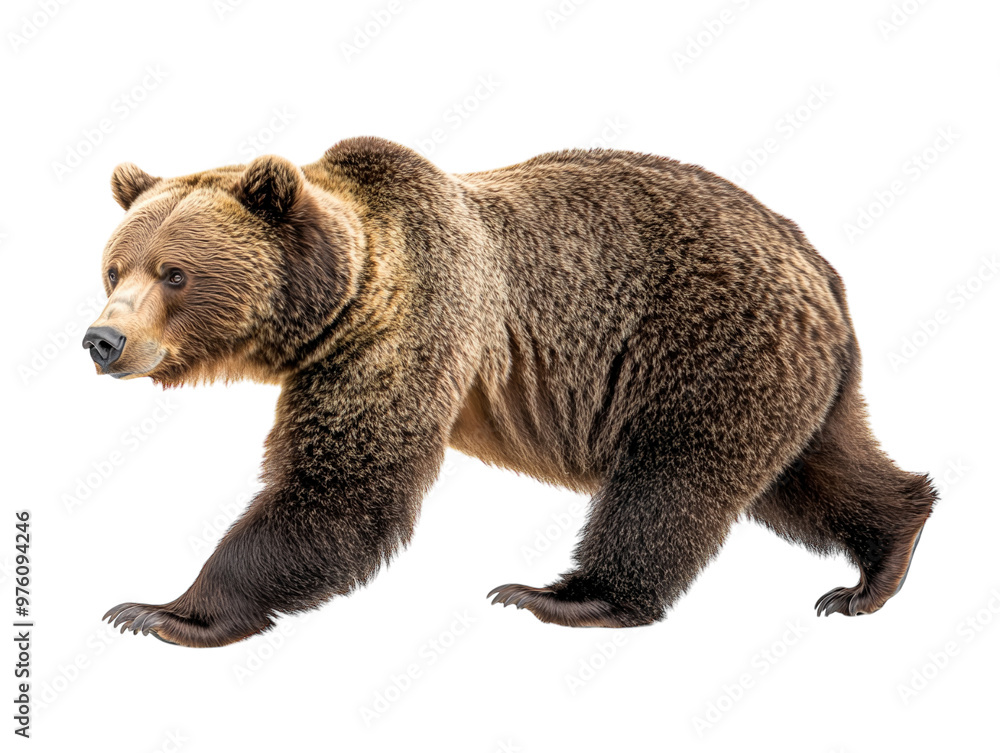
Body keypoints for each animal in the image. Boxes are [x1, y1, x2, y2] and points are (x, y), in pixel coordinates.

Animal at [86, 137, 936, 647]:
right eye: (113, 267)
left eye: (173, 272)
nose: (103, 340)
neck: (344, 297)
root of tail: (819, 265)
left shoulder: (416, 323)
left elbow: (344, 484)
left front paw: (159, 609)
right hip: (791, 377)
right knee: (817, 470)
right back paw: (878, 564)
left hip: (705, 347)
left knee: (669, 482)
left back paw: (564, 595)